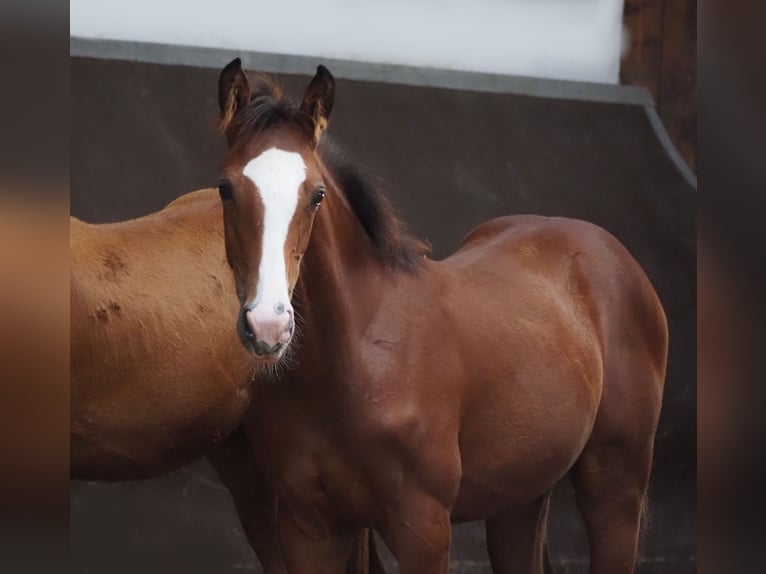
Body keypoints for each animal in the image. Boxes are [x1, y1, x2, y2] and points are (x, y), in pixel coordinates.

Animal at [214, 59, 669, 574]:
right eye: (226, 188)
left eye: (317, 195)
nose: (268, 327)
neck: (353, 364)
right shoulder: (310, 528)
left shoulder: (424, 527)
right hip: (519, 497)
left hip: (616, 483)